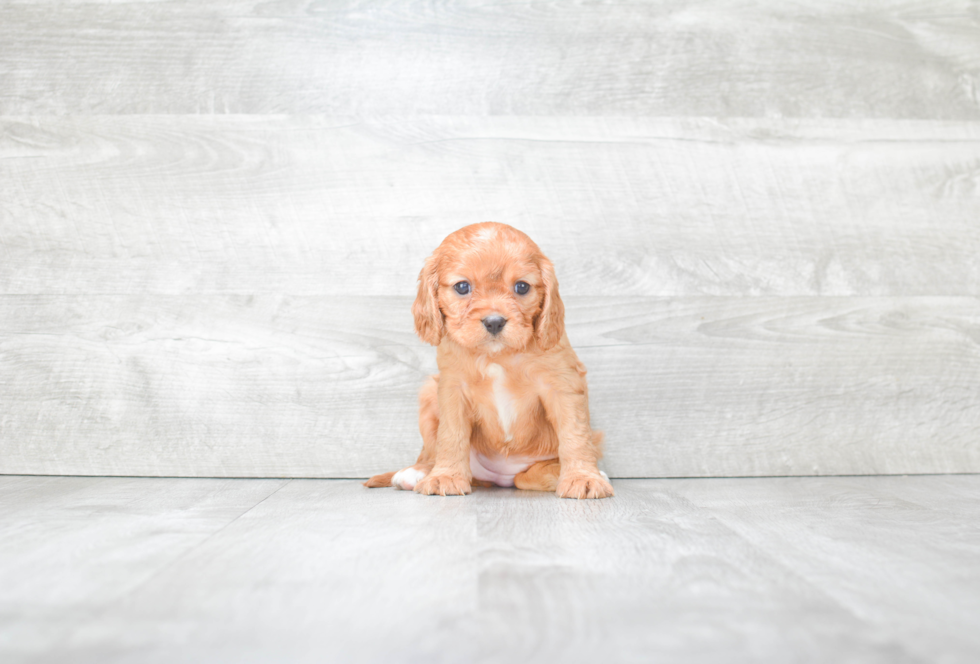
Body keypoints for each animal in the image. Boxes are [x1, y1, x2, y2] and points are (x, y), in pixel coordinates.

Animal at [366, 222, 612, 498]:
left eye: (522, 287)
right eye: (462, 287)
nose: (494, 321)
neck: (497, 356)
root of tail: (501, 479)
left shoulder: (562, 384)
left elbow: (575, 434)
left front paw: (584, 477)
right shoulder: (452, 388)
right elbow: (450, 435)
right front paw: (445, 476)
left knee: (527, 477)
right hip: (429, 393)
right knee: (431, 453)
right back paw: (417, 472)